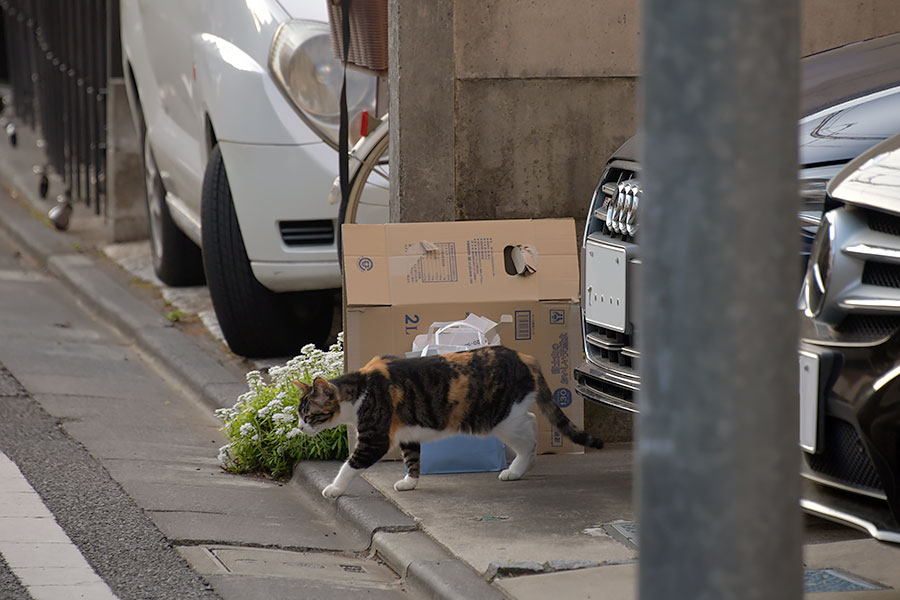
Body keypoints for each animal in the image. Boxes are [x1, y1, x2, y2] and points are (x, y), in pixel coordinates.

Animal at [296, 344, 604, 500]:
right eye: (298, 415)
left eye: (308, 415)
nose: (299, 427)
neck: (361, 389)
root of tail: (524, 357)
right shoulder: (408, 433)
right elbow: (412, 458)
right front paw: (409, 482)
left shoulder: (374, 439)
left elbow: (350, 465)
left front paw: (335, 488)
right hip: (508, 416)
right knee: (529, 423)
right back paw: (525, 467)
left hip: (499, 419)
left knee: (529, 433)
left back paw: (516, 469)